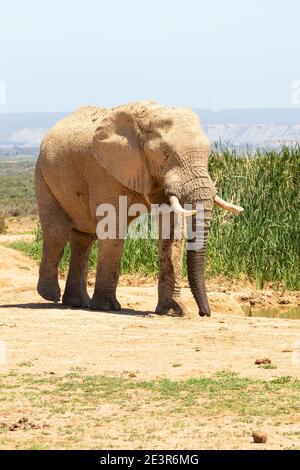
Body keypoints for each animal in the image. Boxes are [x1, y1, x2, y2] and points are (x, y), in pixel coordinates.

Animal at [35, 101, 243, 318]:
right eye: (165, 154)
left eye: (209, 155)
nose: (204, 313)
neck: (146, 117)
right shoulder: (104, 170)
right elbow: (113, 228)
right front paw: (107, 307)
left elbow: (172, 231)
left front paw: (172, 311)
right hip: (43, 175)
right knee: (57, 234)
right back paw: (50, 295)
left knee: (84, 237)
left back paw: (77, 302)